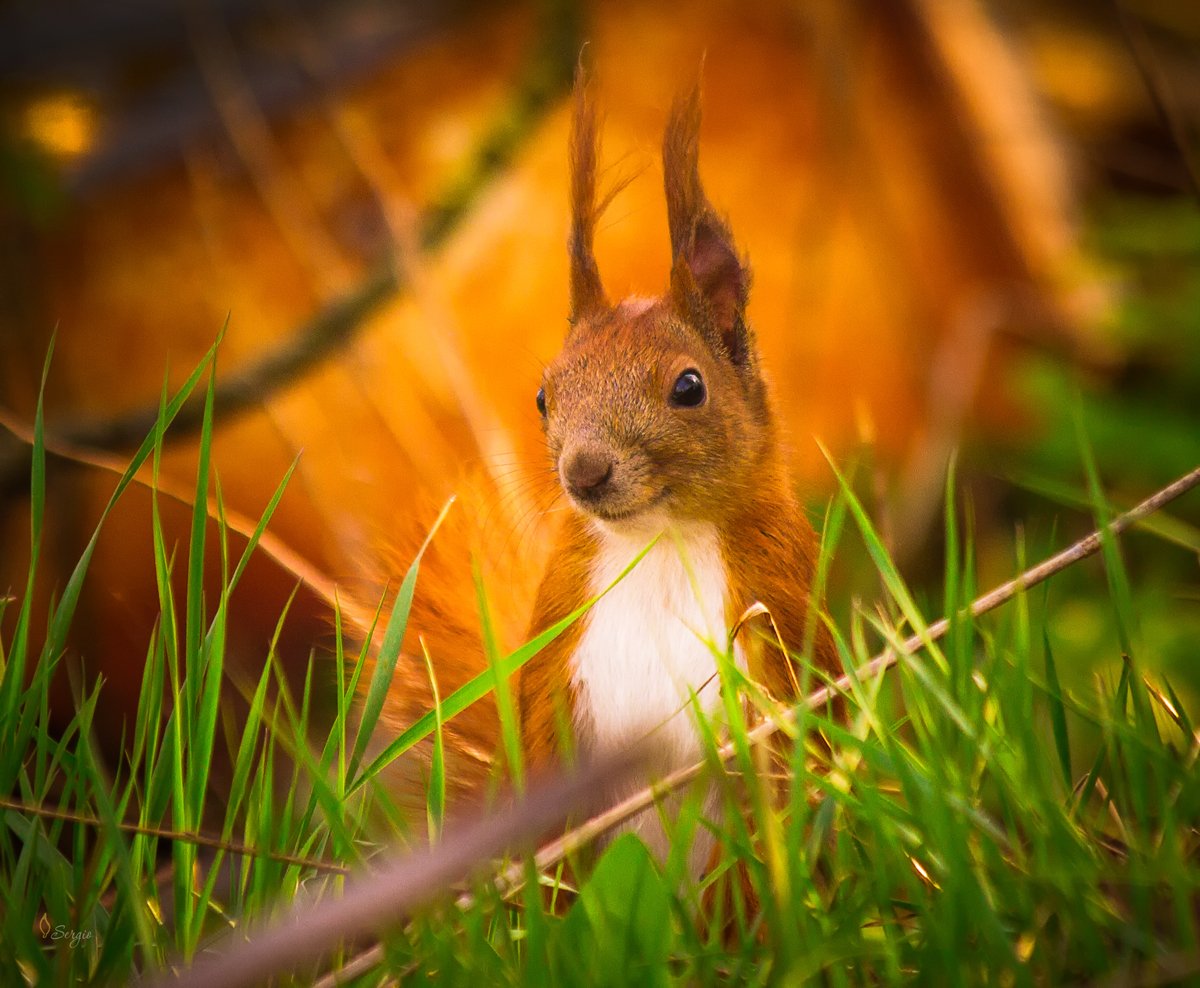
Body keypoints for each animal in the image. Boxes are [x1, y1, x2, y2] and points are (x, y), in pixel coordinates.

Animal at [520, 73, 840, 869]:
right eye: (544, 396)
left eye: (689, 387)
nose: (584, 471)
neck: (659, 544)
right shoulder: (554, 658)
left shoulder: (780, 618)